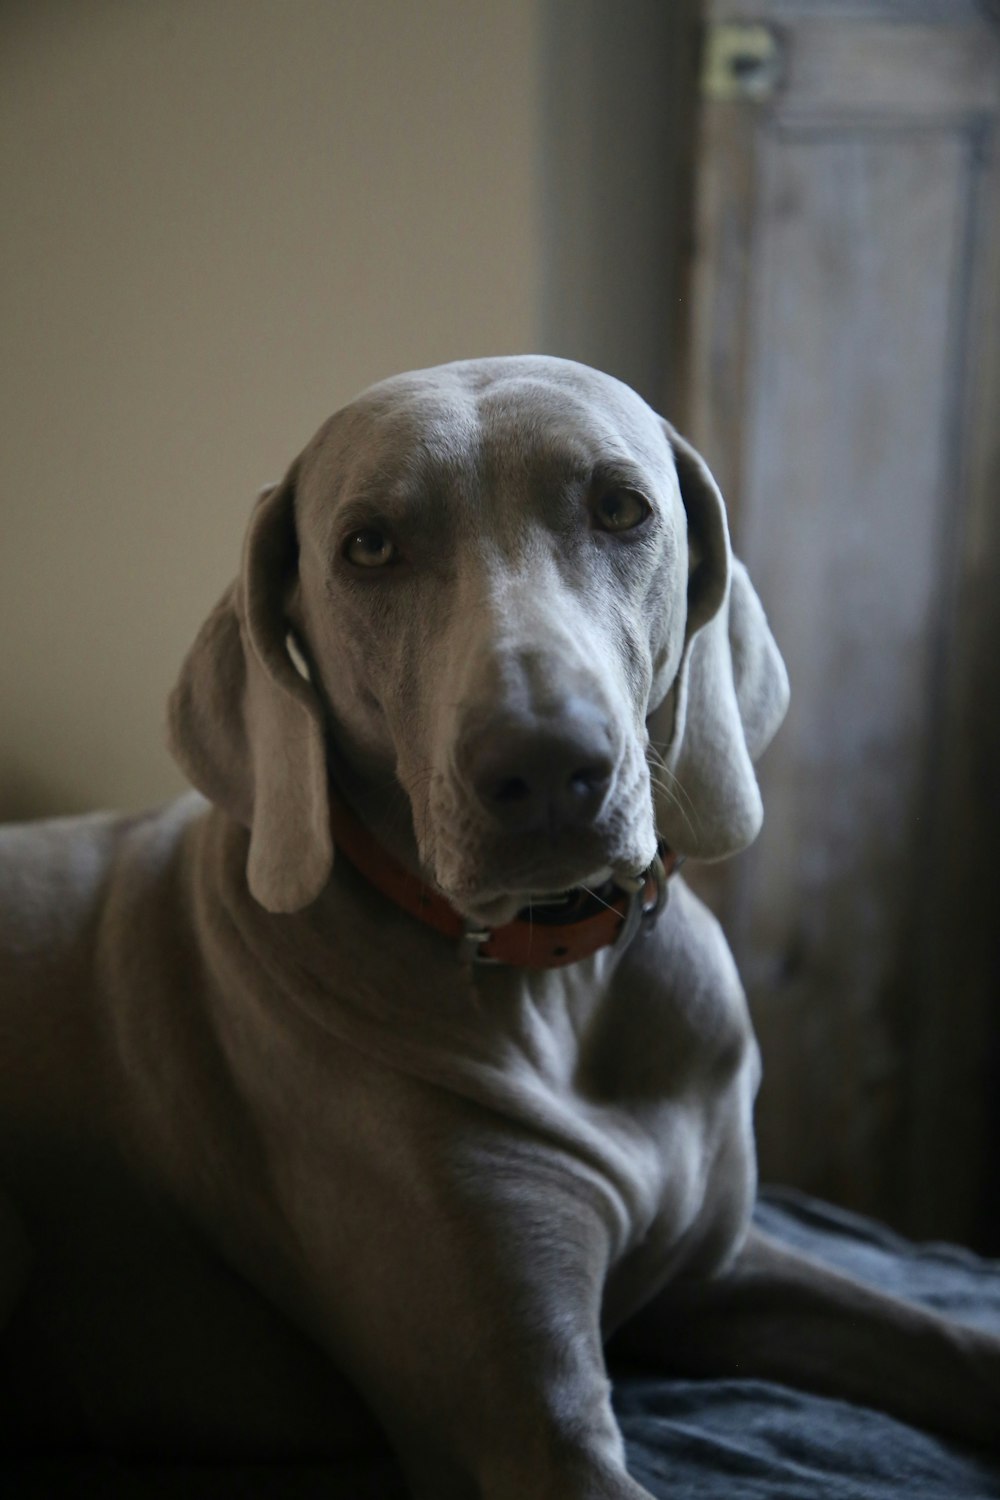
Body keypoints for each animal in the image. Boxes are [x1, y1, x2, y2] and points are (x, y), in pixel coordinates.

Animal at [1, 357, 1000, 1494]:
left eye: (622, 508)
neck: (555, 976)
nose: (546, 765)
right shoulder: (533, 1438)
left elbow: (939, 1337)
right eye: (368, 546)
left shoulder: (716, 1271)